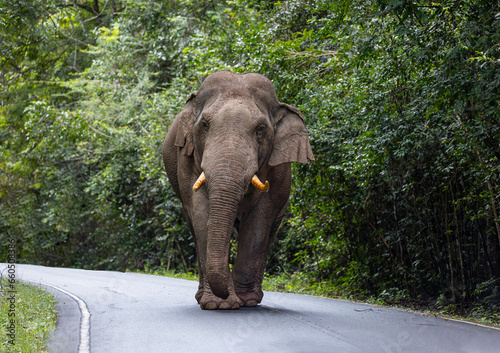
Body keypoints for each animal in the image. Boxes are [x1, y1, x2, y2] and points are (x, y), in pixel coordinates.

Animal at [163, 71, 312, 308]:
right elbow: (201, 211)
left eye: (261, 129)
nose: (226, 296)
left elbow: (259, 220)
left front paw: (244, 301)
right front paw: (219, 304)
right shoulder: (186, 158)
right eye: (204, 124)